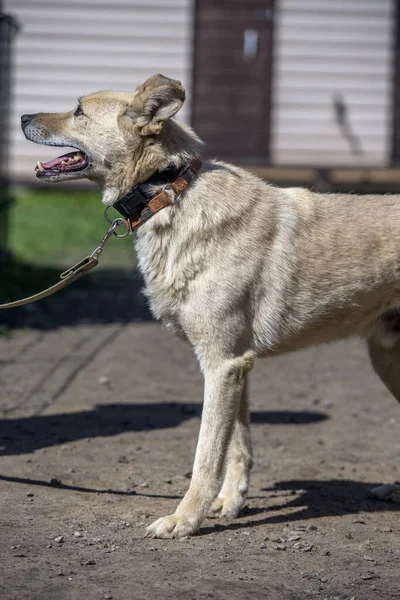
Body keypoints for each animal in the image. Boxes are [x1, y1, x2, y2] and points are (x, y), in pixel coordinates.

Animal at [21, 75, 400, 540]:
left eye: (78, 111)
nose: (22, 117)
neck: (168, 192)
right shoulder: (236, 365)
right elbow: (237, 445)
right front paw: (230, 503)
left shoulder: (222, 364)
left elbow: (206, 455)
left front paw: (184, 520)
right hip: (387, 360)